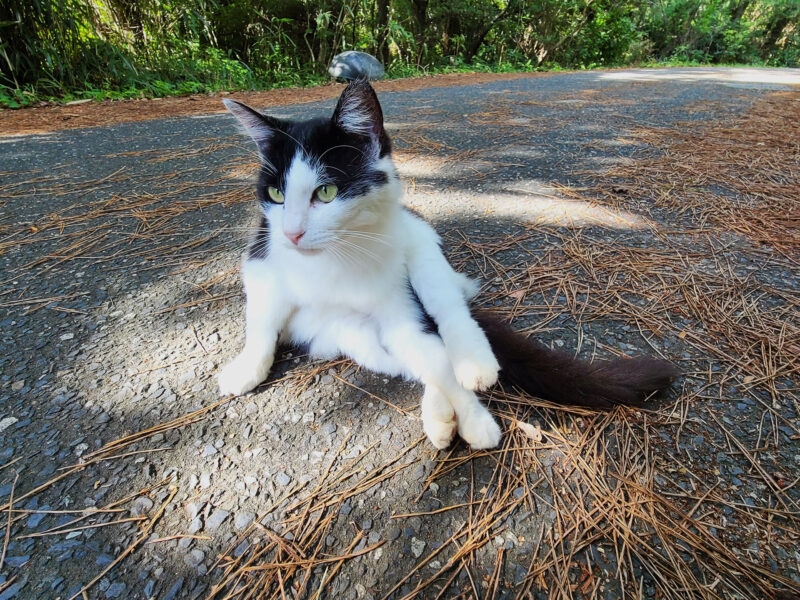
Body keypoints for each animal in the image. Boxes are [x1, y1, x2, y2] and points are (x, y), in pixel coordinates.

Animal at [216, 82, 680, 450]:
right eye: (276, 194)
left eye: (326, 192)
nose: (292, 234)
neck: (328, 262)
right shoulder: (262, 264)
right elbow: (261, 324)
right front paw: (246, 368)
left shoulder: (397, 295)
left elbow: (440, 358)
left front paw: (478, 423)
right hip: (351, 335)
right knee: (417, 356)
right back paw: (439, 415)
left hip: (422, 252)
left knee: (445, 323)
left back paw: (473, 366)